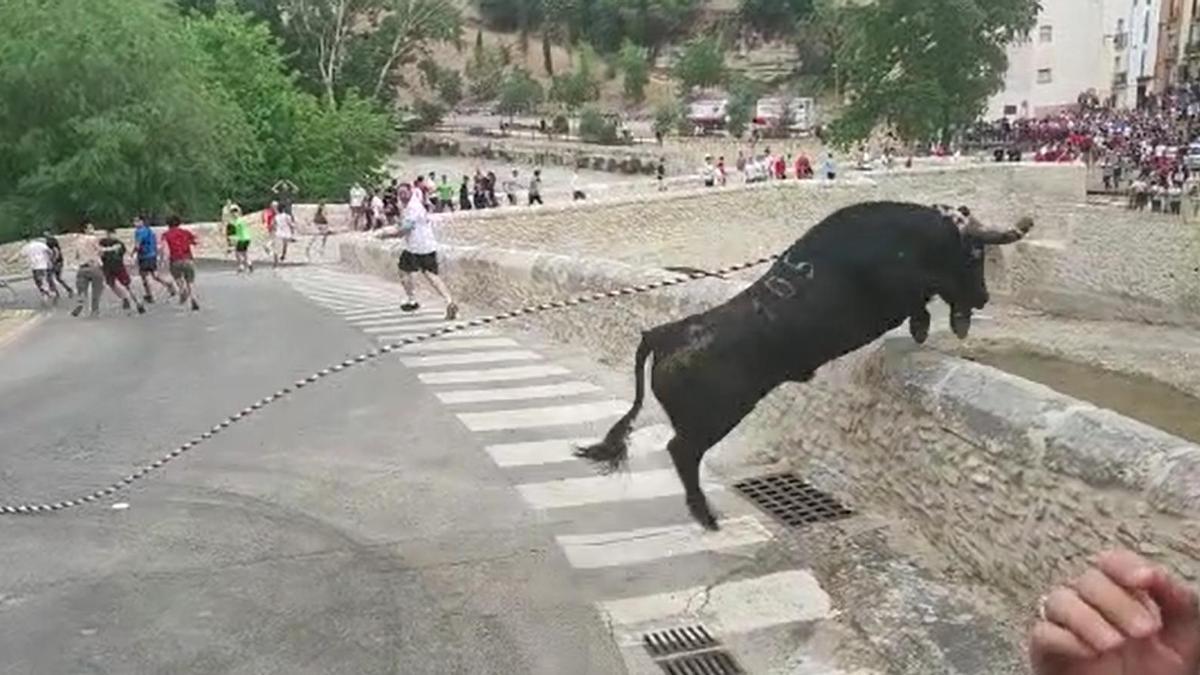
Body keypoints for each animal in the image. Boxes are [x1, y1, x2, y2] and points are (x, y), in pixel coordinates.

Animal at [571, 201, 1032, 528]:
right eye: (975, 253)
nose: (984, 299)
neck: (909, 238)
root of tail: (664, 333)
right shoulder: (902, 283)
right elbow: (927, 289)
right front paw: (930, 325)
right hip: (716, 416)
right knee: (680, 450)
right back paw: (709, 517)